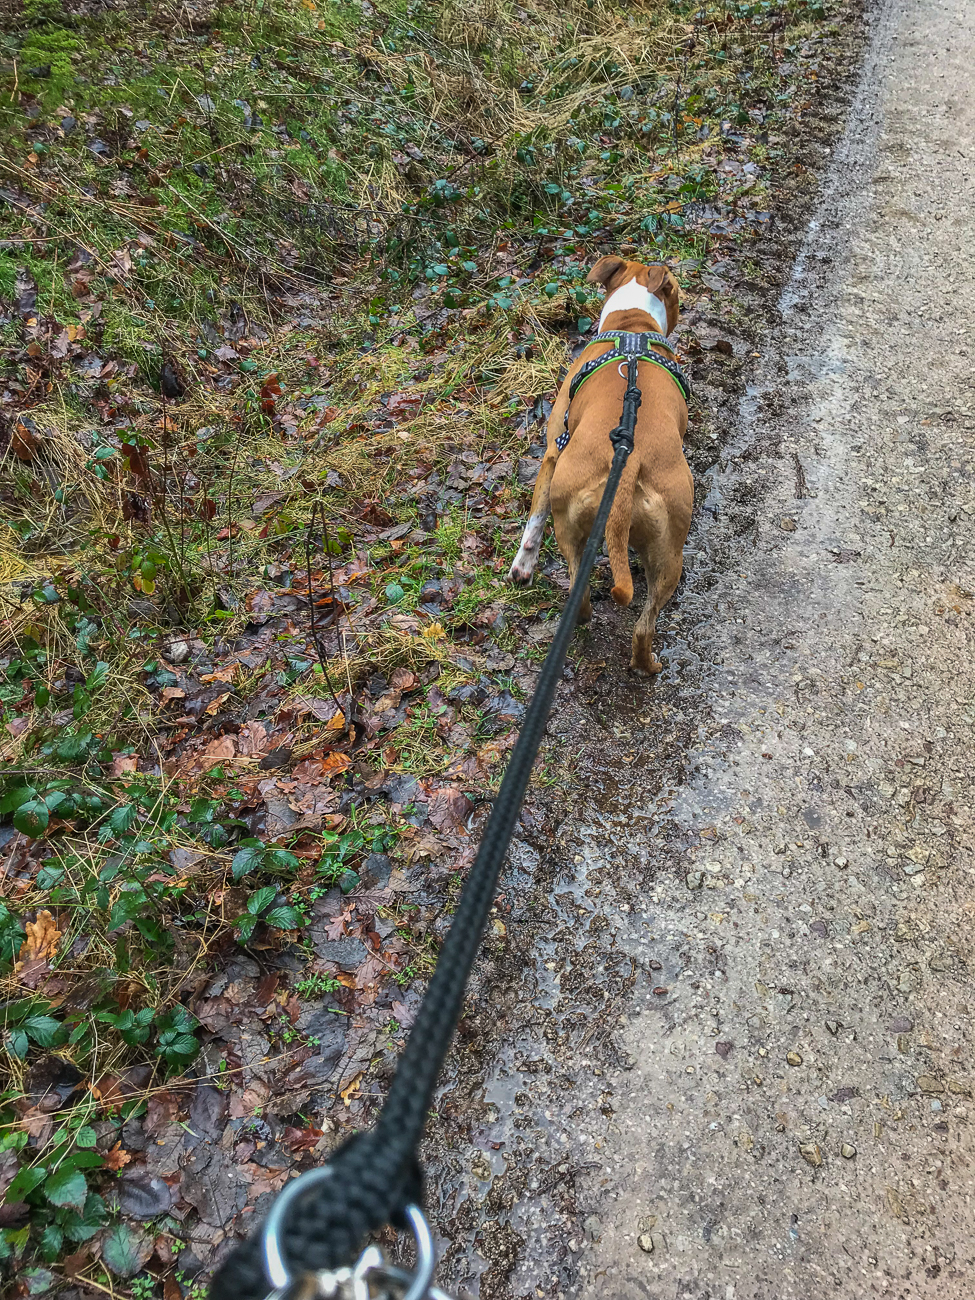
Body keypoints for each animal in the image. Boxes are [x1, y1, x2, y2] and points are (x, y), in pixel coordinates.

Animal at [512, 257, 696, 676]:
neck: (632, 327)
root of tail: (629, 461)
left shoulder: (553, 448)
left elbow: (535, 517)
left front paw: (523, 566)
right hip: (668, 551)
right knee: (643, 624)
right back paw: (647, 665)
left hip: (572, 524)